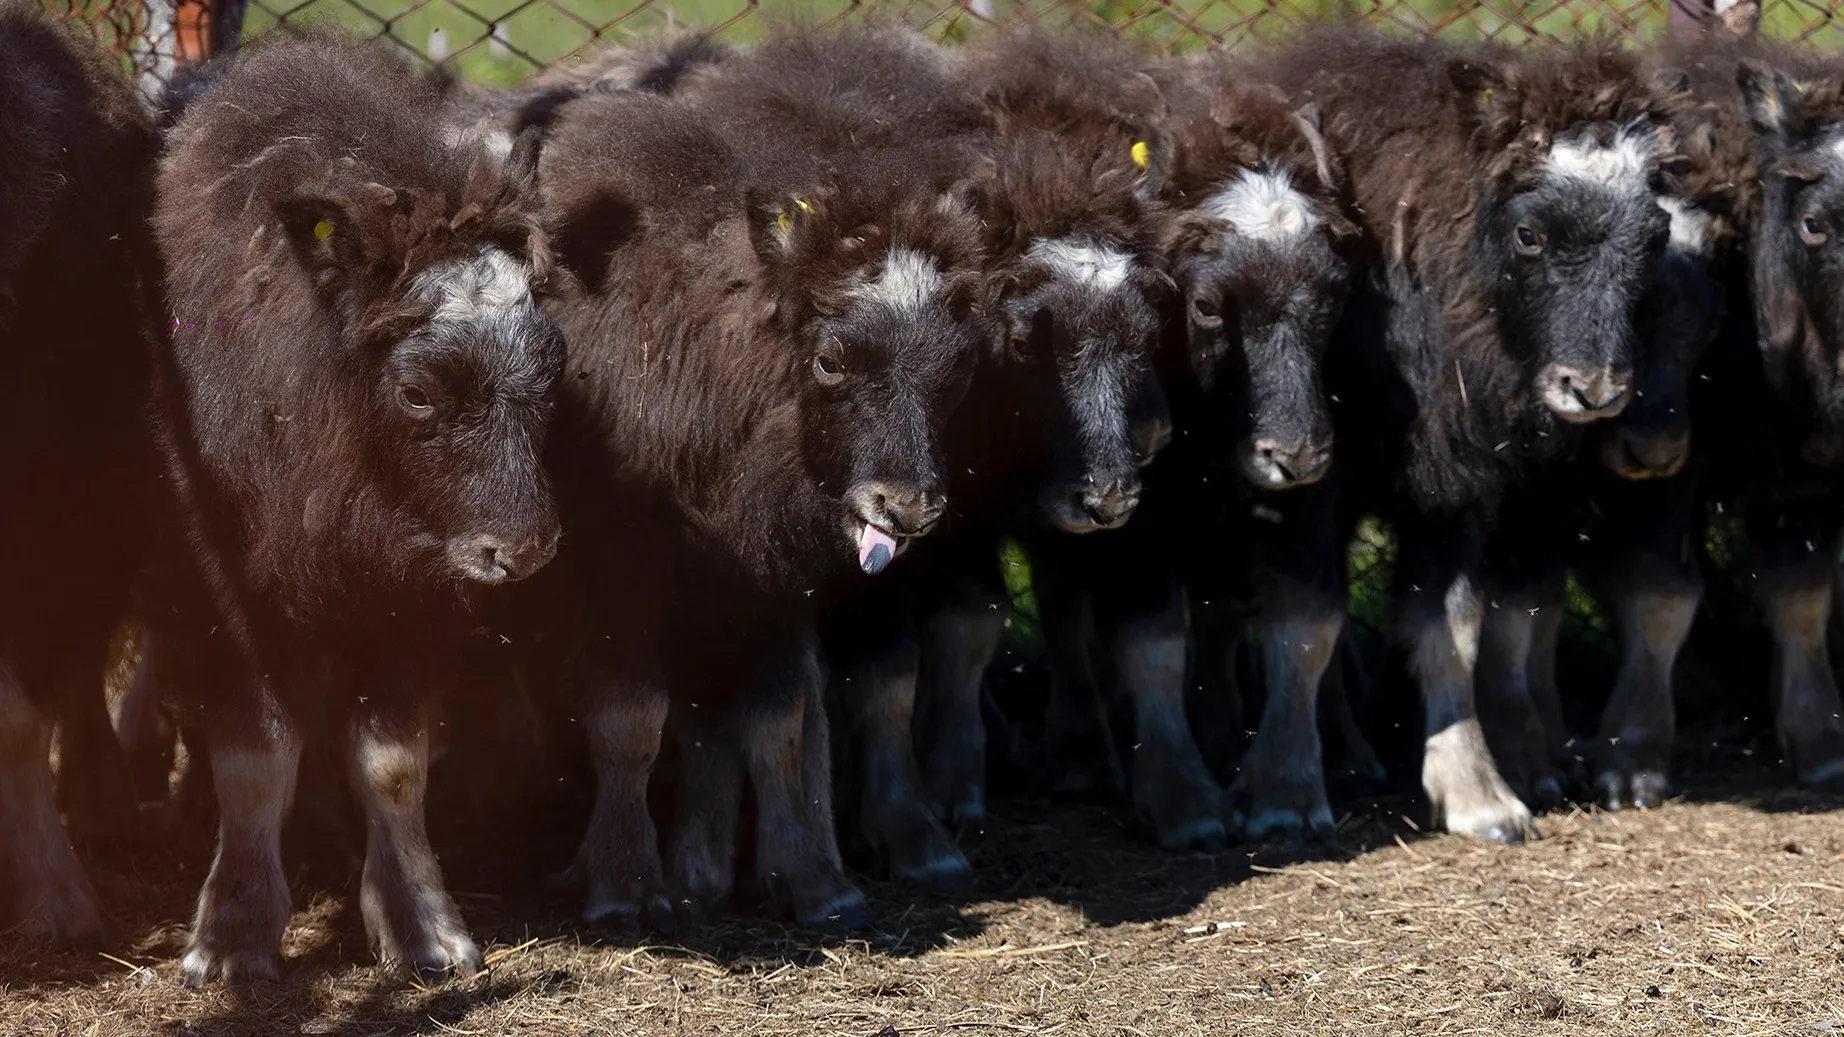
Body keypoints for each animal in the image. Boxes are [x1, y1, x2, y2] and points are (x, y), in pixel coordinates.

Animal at [151, 34, 560, 981]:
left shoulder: (408, 599)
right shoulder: (219, 594)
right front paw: (231, 941)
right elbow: (256, 753)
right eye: (416, 392)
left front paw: (428, 934)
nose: (521, 551)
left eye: (551, 364)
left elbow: (393, 762)